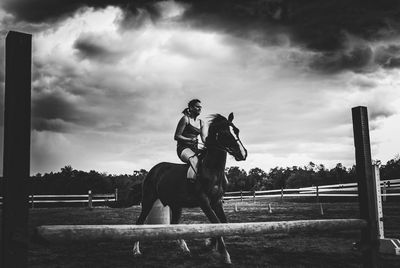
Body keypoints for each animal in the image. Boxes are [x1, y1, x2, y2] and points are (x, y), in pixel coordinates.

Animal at [134, 113, 247, 264]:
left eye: (237, 131)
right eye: (224, 133)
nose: (243, 154)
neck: (212, 170)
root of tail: (153, 170)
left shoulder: (217, 201)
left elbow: (223, 223)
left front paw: (210, 243)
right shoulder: (204, 202)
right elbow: (216, 222)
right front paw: (225, 255)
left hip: (176, 205)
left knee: (174, 224)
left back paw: (184, 248)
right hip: (148, 201)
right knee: (139, 223)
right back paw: (136, 251)